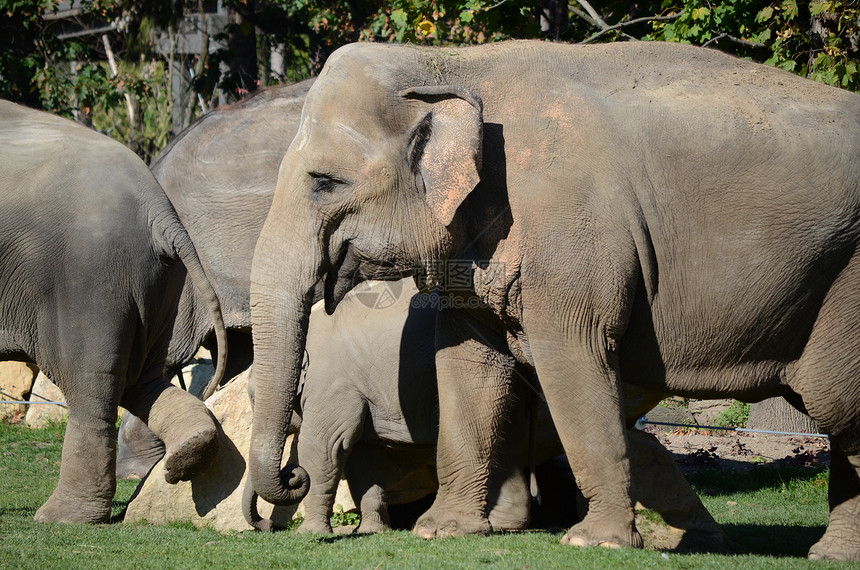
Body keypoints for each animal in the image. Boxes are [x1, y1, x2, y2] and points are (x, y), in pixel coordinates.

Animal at [0, 100, 228, 520]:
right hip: (157, 283)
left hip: (91, 280)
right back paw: (190, 455)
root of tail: (159, 210)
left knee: (93, 387)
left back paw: (62, 518)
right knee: (143, 381)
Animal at [247, 41, 860, 560]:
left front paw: (596, 542)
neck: (451, 62)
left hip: (845, 280)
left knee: (840, 407)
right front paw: (442, 531)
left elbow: (572, 353)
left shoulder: (570, 229)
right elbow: (466, 364)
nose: (292, 476)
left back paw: (826, 552)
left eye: (326, 182)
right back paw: (822, 552)